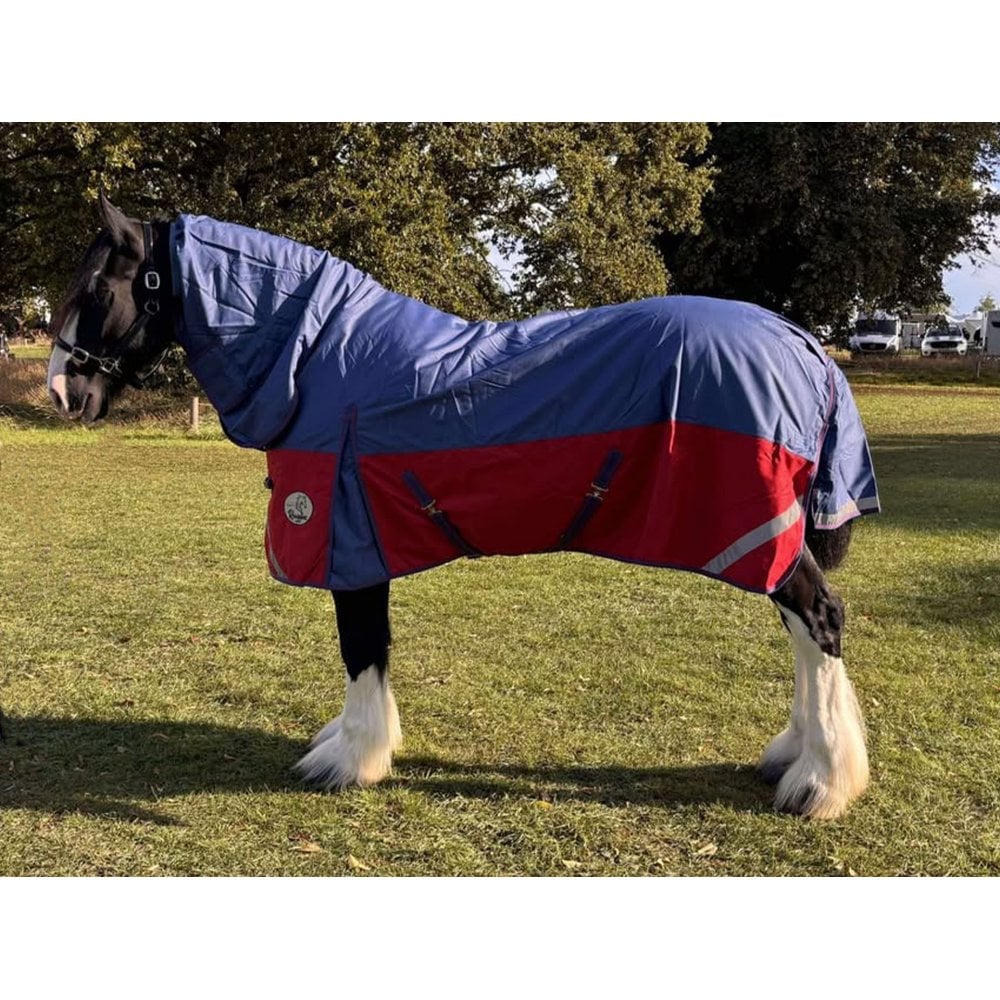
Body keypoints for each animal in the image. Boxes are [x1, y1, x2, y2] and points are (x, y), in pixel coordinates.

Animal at [47, 194, 879, 819]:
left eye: (98, 292)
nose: (62, 391)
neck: (322, 360)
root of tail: (803, 342)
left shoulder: (349, 540)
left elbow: (361, 647)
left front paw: (351, 759)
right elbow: (372, 648)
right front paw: (357, 745)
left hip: (758, 536)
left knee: (820, 620)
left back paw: (820, 784)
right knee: (803, 631)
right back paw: (792, 757)